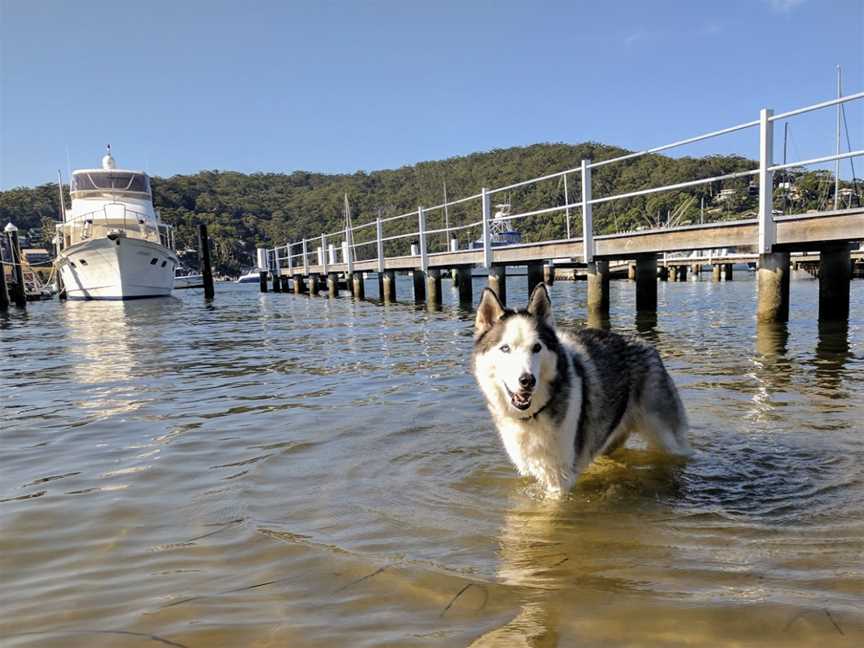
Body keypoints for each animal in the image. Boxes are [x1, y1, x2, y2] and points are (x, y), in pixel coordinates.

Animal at [472, 280, 688, 498]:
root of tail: (646, 343)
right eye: (505, 348)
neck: (534, 414)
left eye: (537, 348)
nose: (527, 380)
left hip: (667, 439)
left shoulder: (559, 481)